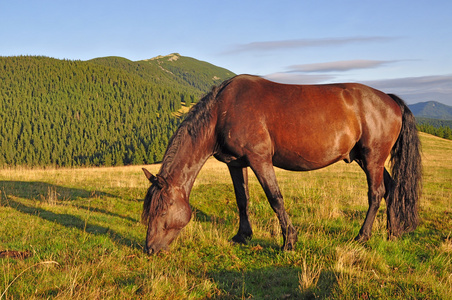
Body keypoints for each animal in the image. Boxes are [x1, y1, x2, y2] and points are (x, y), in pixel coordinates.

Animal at [142, 74, 424, 254]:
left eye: (162, 210)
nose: (150, 249)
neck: (223, 111)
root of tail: (389, 99)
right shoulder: (236, 164)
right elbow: (242, 200)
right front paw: (242, 236)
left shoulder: (260, 160)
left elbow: (275, 198)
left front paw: (289, 241)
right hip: (370, 161)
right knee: (391, 189)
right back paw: (393, 232)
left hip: (372, 159)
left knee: (376, 193)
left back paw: (362, 237)